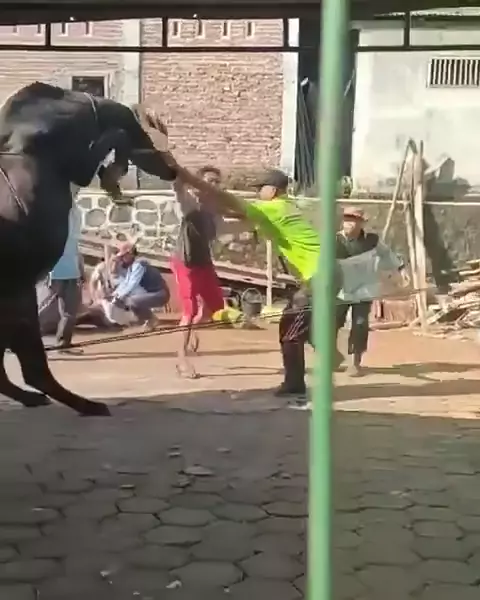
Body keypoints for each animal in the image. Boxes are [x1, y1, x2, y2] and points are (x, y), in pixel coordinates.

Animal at [0, 81, 175, 416]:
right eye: (149, 132)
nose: (172, 169)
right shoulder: (79, 166)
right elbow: (114, 138)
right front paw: (112, 177)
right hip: (19, 296)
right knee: (33, 368)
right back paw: (86, 404)